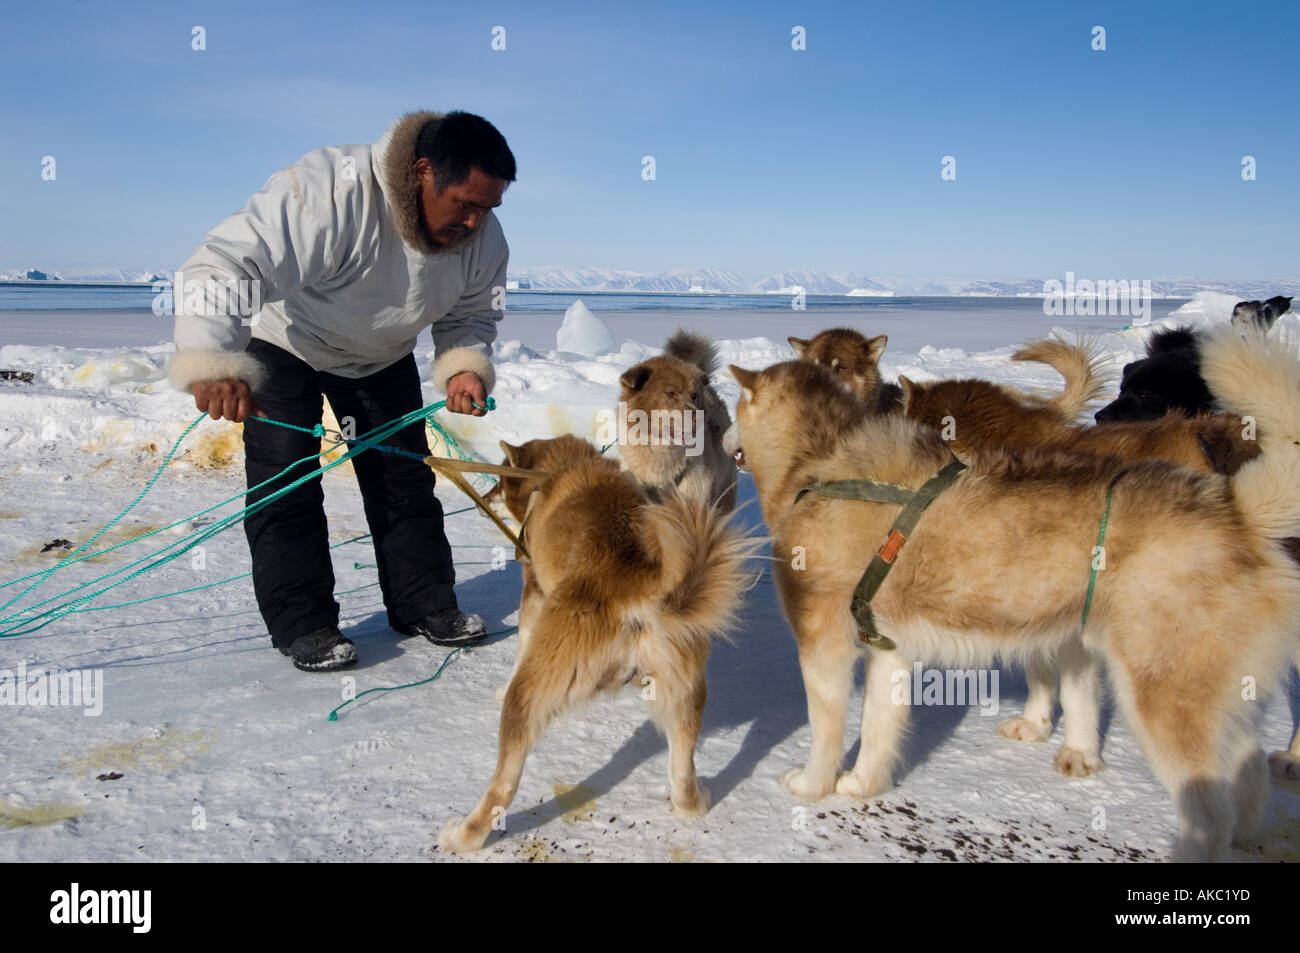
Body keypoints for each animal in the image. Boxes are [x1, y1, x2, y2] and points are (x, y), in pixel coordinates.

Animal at [436, 434, 754, 852]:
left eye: (501, 482)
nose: (482, 499)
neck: (556, 472)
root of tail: (636, 588)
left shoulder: (533, 593)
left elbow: (520, 644)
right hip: (685, 696)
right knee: (683, 776)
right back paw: (695, 800)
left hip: (531, 696)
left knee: (502, 785)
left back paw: (462, 836)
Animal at [728, 321, 1300, 863]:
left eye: (734, 403)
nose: (725, 437)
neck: (822, 461)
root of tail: (1234, 510)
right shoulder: (888, 652)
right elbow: (876, 730)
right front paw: (861, 786)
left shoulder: (823, 644)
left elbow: (825, 729)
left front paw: (812, 785)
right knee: (1247, 770)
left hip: (1162, 699)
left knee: (1208, 808)